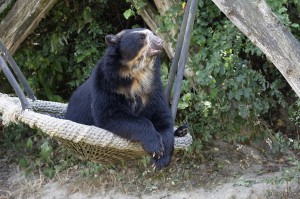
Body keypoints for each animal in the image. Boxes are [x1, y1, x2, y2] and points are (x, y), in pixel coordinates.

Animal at [63, 27, 176, 168]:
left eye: (153, 34)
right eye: (141, 39)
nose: (160, 42)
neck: (136, 73)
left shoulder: (152, 88)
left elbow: (161, 115)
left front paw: (162, 157)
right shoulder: (107, 86)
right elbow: (111, 115)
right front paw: (155, 146)